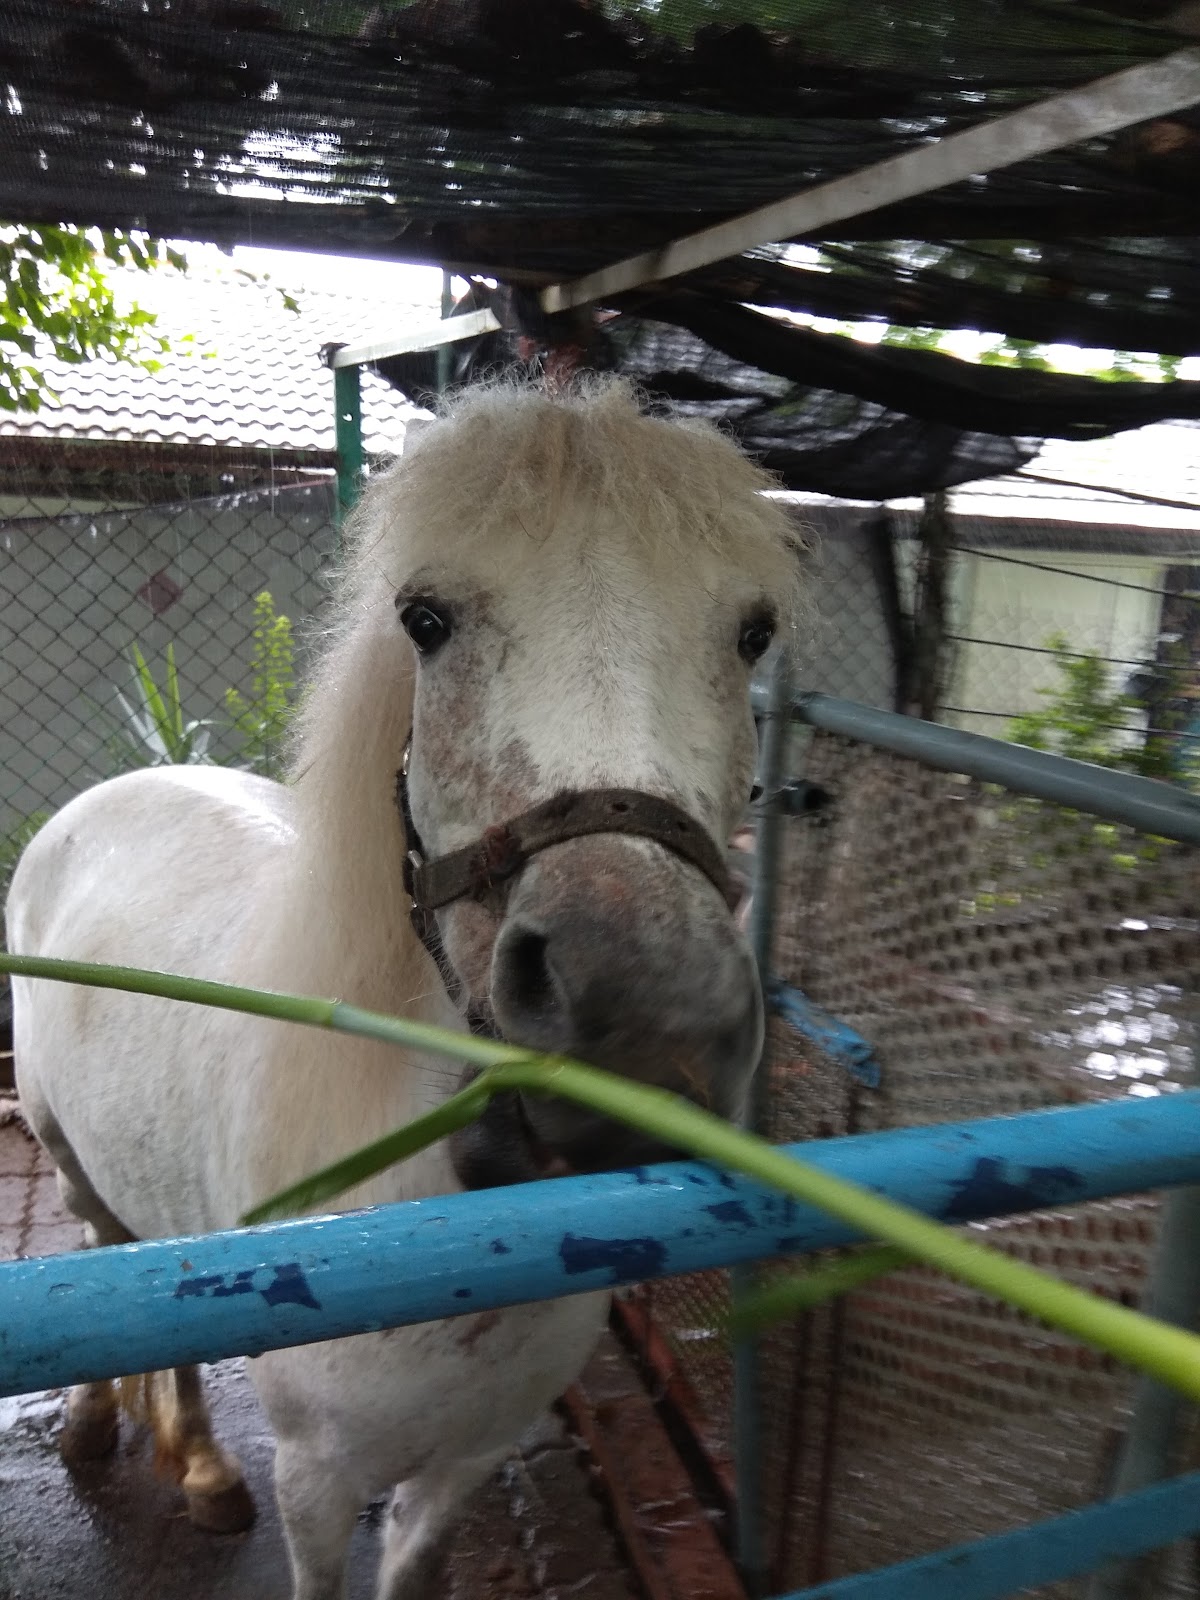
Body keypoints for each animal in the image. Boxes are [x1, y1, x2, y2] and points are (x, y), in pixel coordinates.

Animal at [6, 377, 804, 1600]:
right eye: (426, 621)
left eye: (752, 630)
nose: (645, 1015)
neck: (439, 1237)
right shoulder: (319, 1486)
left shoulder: (461, 1471)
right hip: (69, 1160)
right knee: (110, 1258)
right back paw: (149, 1446)